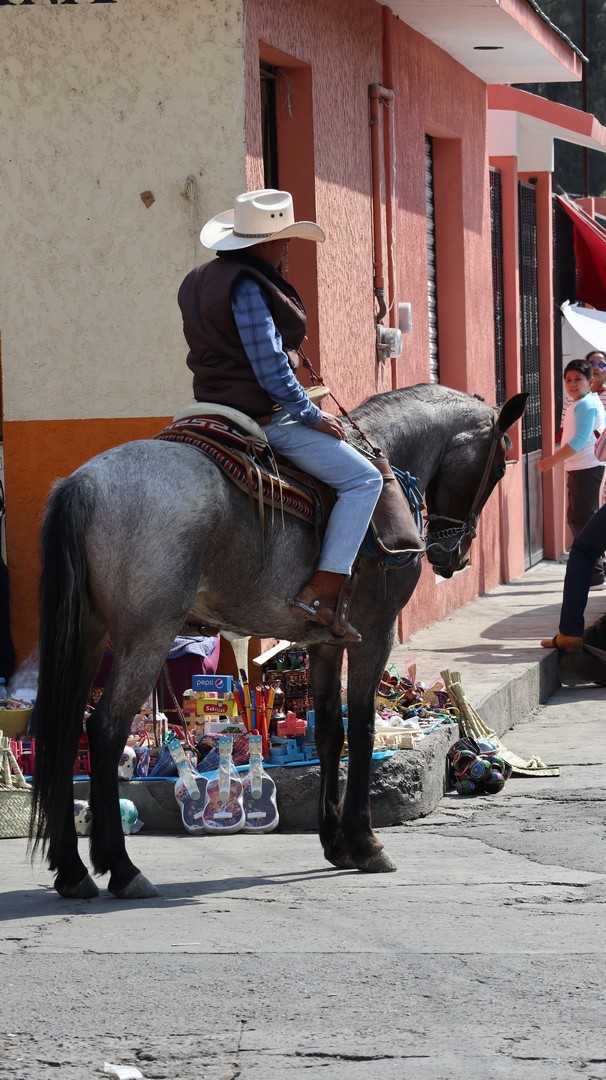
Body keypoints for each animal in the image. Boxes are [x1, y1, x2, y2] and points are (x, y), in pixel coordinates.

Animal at [30, 383, 527, 899]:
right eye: (498, 465)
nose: (454, 555)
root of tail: (83, 485)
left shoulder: (325, 642)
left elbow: (329, 733)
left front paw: (336, 842)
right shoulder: (375, 632)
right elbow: (362, 730)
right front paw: (366, 843)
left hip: (89, 635)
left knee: (65, 730)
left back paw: (73, 870)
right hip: (146, 636)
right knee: (105, 730)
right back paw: (122, 868)